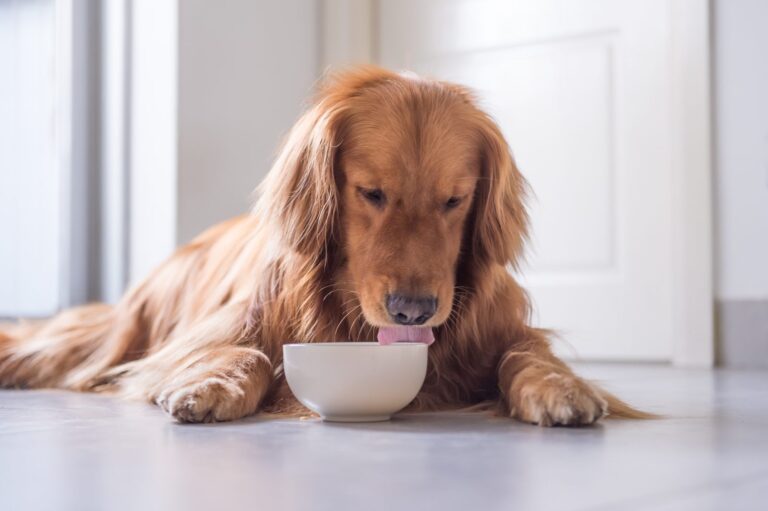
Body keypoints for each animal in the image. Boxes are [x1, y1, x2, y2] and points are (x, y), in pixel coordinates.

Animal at [1, 68, 648, 428]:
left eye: (455, 200)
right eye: (371, 193)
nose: (412, 311)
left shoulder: (504, 330)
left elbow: (526, 355)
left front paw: (562, 388)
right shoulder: (220, 331)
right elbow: (247, 353)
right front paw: (212, 387)